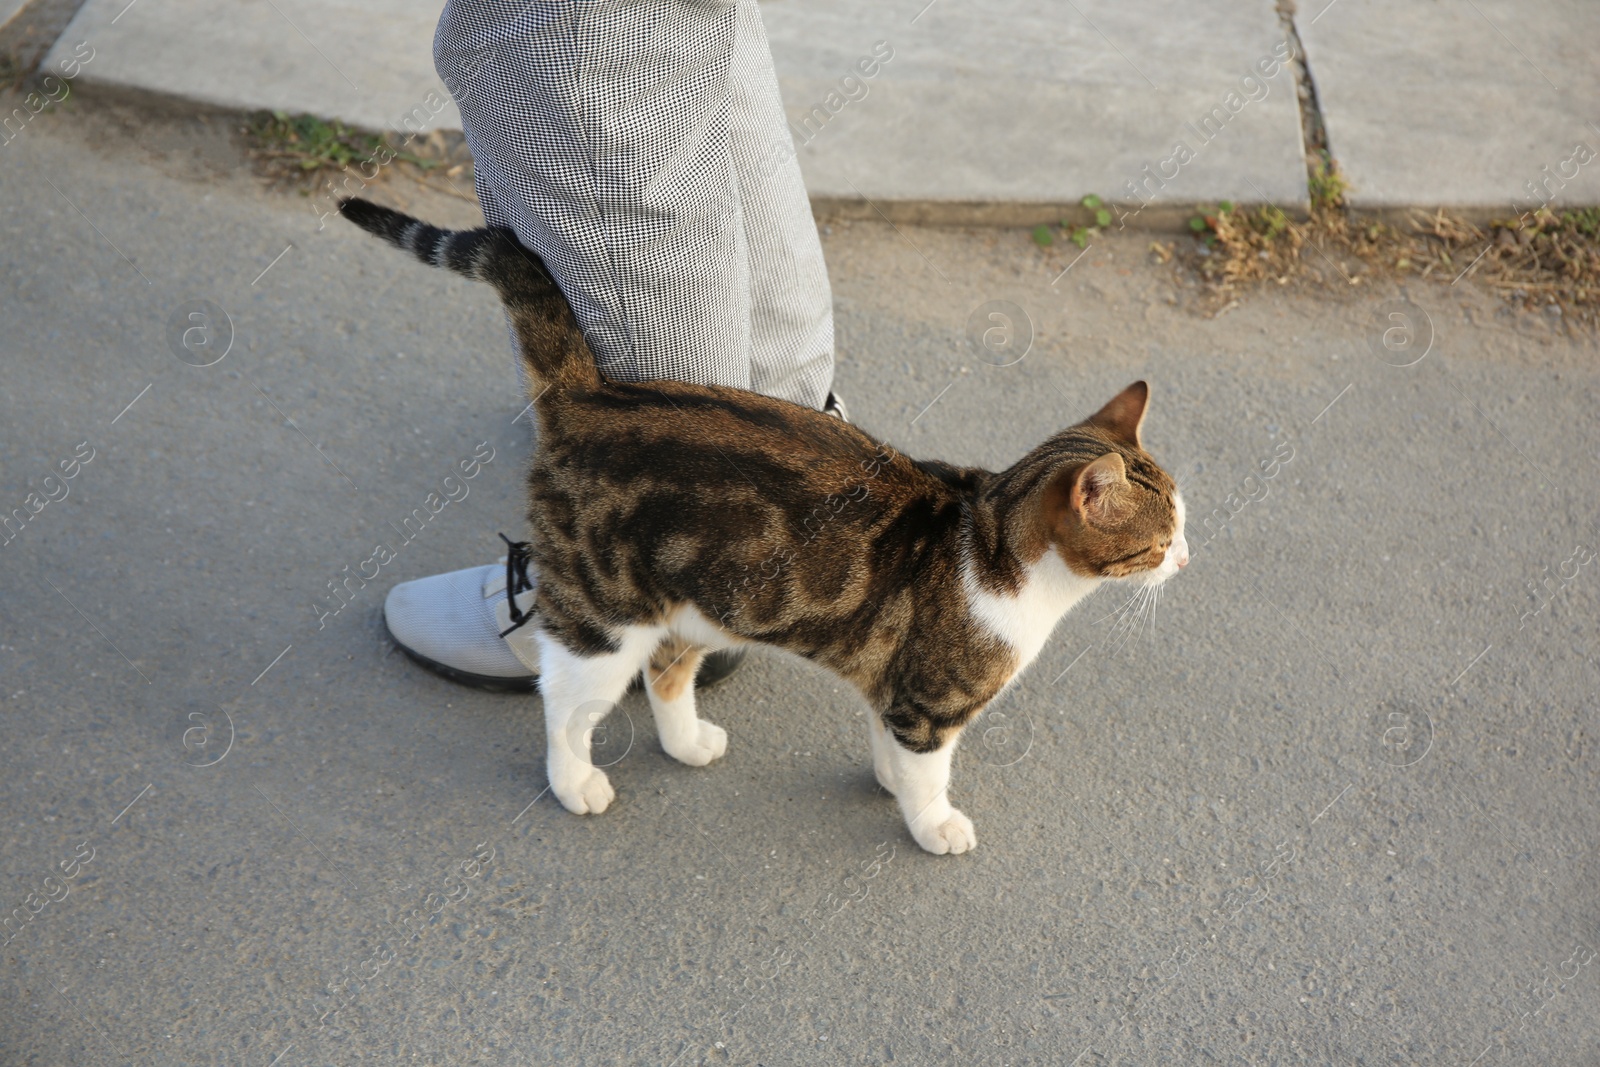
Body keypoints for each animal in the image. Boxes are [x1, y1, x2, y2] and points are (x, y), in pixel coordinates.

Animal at [340, 195, 1190, 857]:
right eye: (1159, 536)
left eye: (1183, 521)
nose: (1185, 559)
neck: (996, 547)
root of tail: (591, 393)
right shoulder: (929, 704)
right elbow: (928, 773)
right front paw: (933, 821)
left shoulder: (893, 689)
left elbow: (889, 747)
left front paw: (888, 780)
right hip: (603, 619)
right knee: (566, 699)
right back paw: (573, 780)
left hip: (701, 599)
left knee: (667, 669)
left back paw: (687, 742)